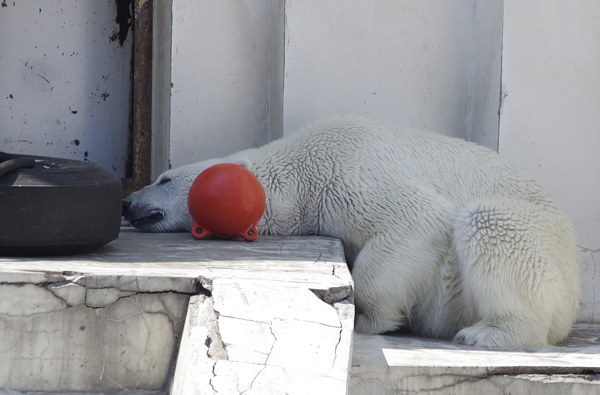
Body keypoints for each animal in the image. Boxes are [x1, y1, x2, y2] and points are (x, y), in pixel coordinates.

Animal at [124, 117, 580, 350]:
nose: (127, 202)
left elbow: (420, 220)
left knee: (490, 222)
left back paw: (487, 333)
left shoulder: (351, 169)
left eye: (163, 179)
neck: (302, 169)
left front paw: (370, 320)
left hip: (539, 253)